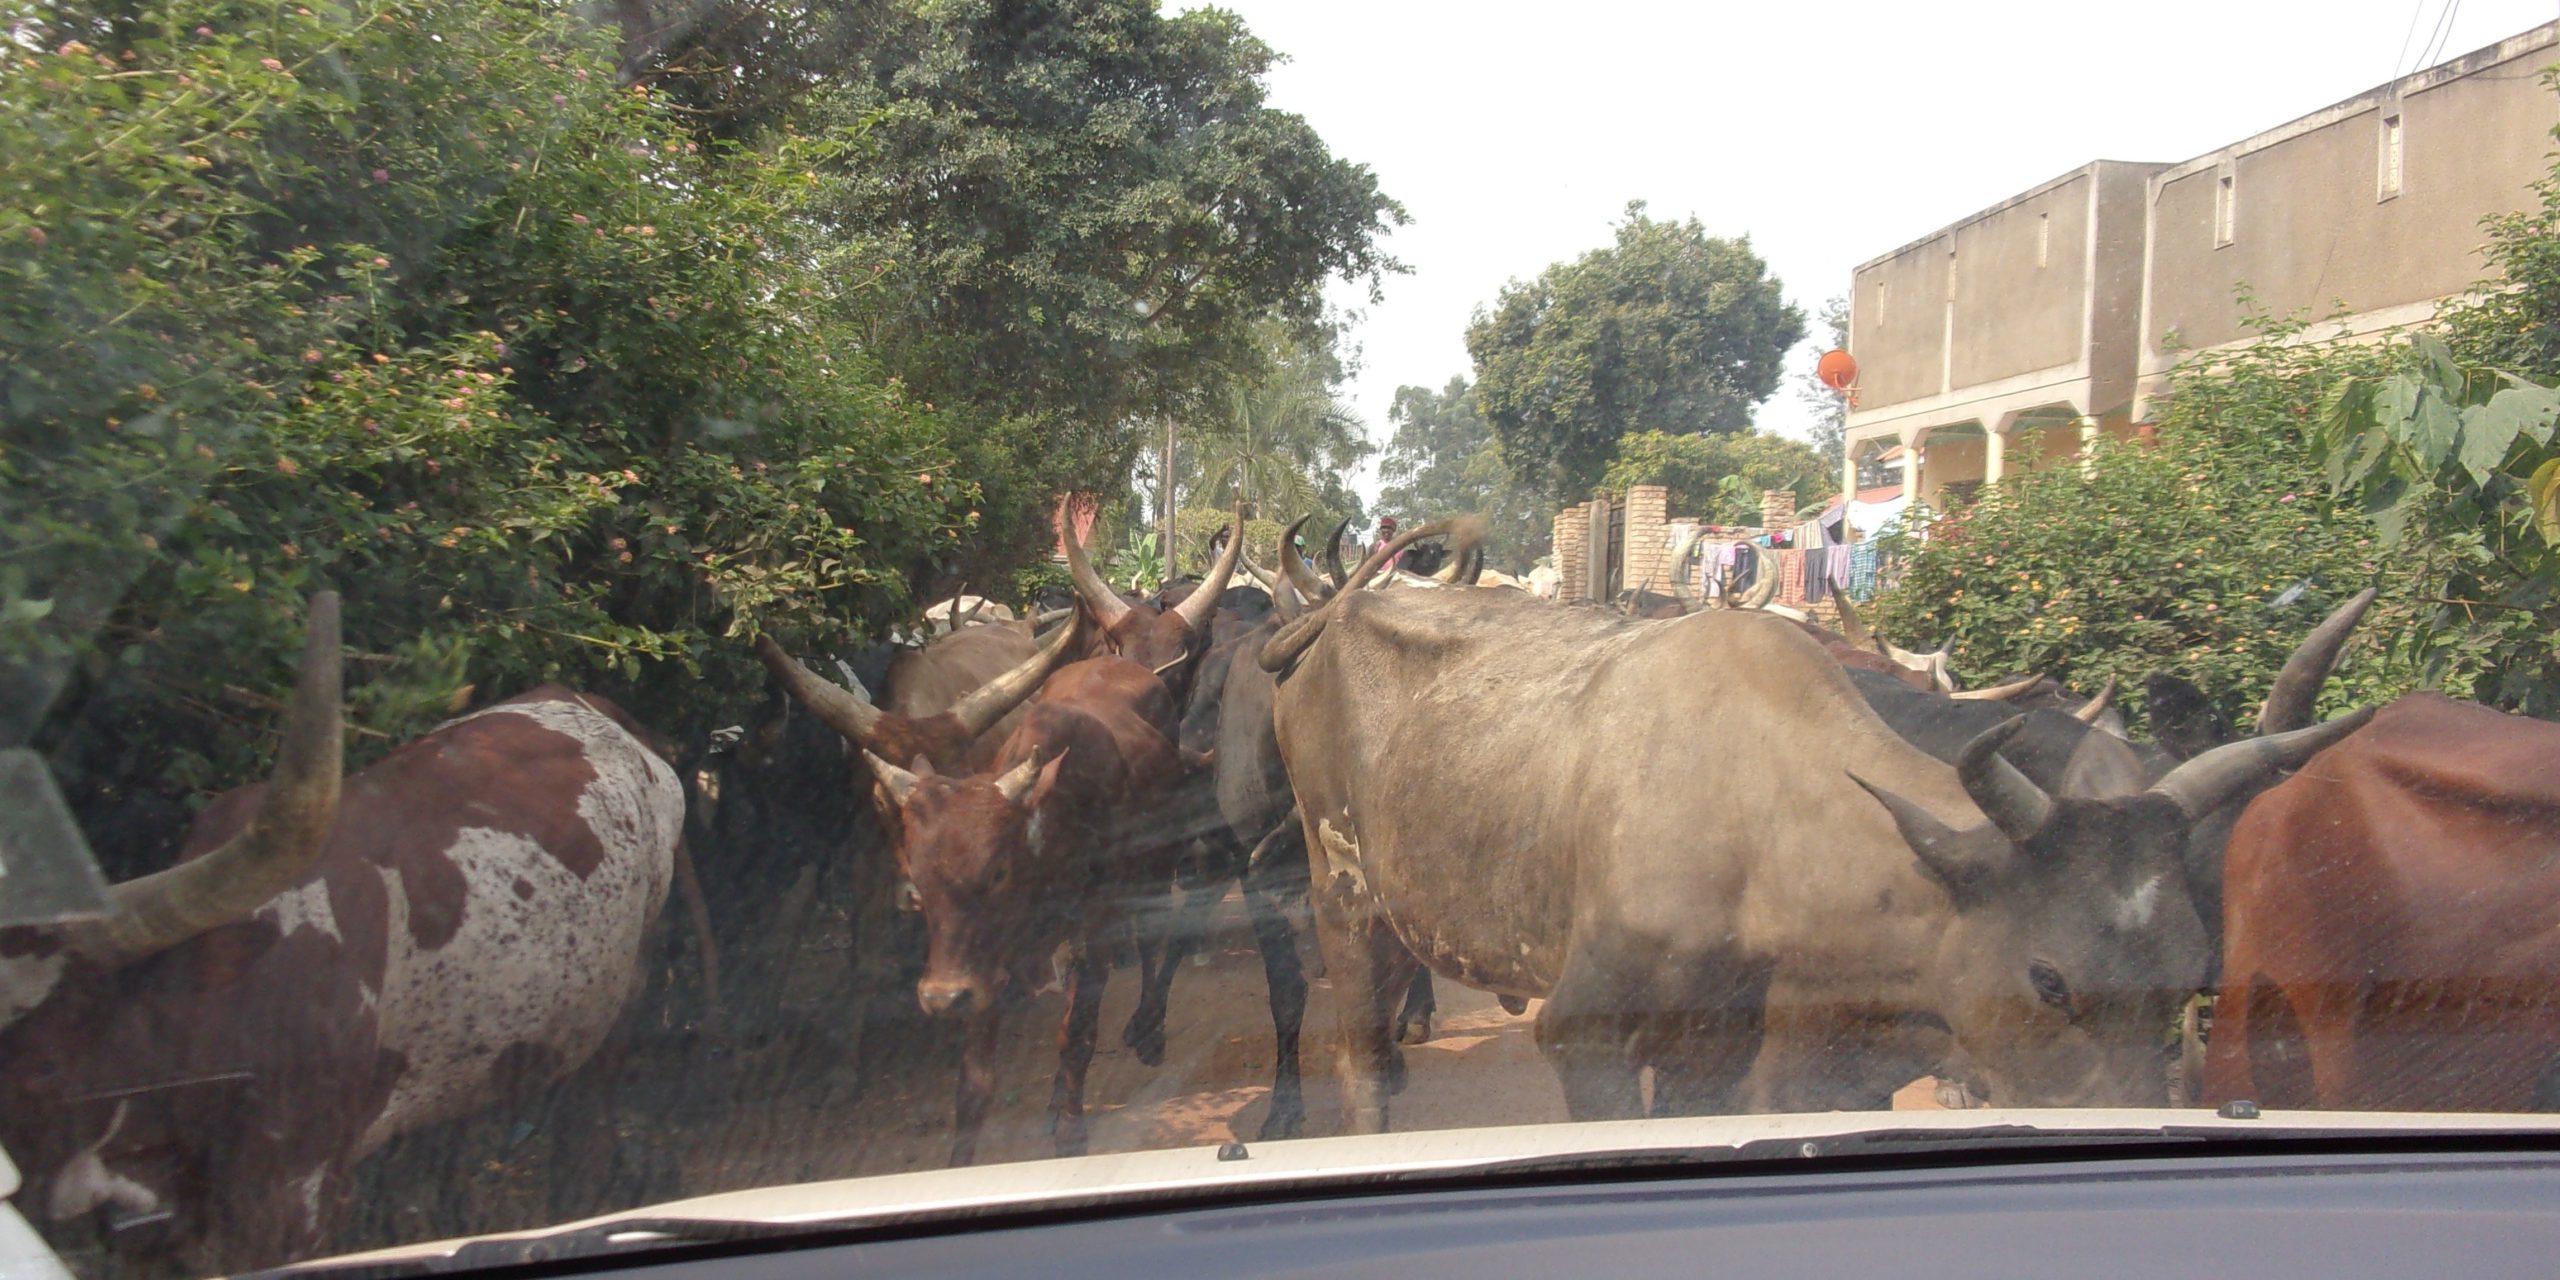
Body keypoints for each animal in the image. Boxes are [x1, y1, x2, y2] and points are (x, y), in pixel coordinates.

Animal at [859, 653, 1190, 1165]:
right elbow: (974, 1082)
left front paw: (1072, 1133)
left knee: (1150, 941)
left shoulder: (1094, 931)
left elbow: (1077, 1035)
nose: (940, 997)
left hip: (1157, 866)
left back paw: (1149, 1029)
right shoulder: (981, 967)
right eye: (918, 875)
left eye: (997, 871)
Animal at [1257, 530, 2369, 1131]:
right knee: (1360, 1054)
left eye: (2191, 969)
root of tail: (1329, 621)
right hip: (1340, 890)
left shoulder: (1741, 1057)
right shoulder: (1587, 1030)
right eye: (2049, 979)